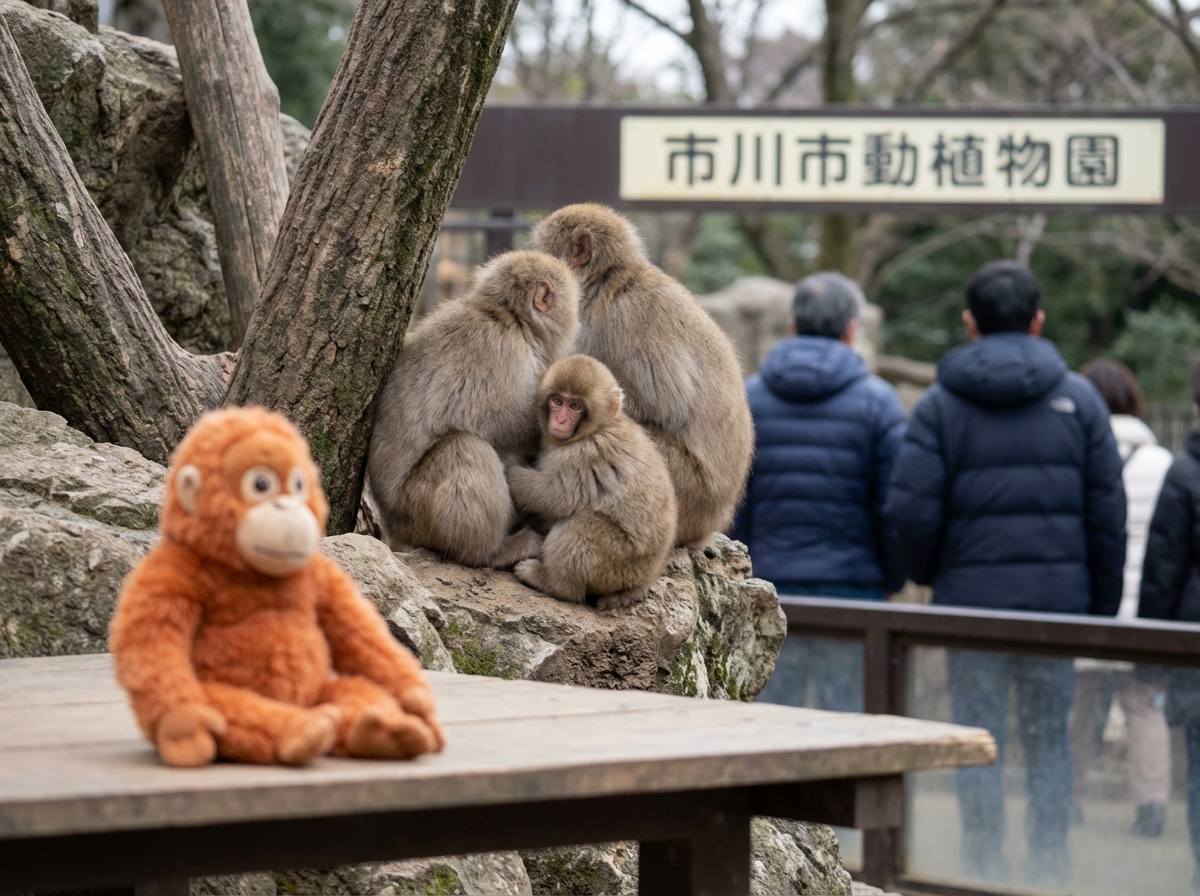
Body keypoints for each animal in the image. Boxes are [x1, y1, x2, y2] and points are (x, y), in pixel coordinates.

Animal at [367, 251, 580, 567]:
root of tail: (394, 530)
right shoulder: (501, 348)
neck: (511, 318)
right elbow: (490, 419)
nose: (578, 321)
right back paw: (491, 552)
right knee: (465, 446)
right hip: (416, 511)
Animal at [506, 354, 677, 610]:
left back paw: (554, 583)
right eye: (557, 401)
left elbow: (557, 497)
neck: (598, 428)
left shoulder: (586, 453)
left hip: (616, 566)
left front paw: (508, 471)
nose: (561, 420)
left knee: (585, 521)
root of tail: (641, 581)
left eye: (575, 406)